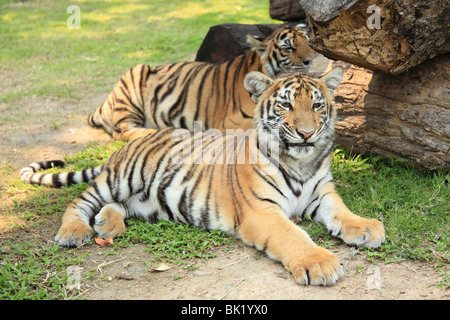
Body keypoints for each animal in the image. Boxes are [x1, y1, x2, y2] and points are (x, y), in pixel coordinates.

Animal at [21, 68, 384, 284]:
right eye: (285, 106)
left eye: (318, 106)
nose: (307, 134)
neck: (300, 162)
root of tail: (133, 143)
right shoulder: (261, 211)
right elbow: (292, 235)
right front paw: (319, 263)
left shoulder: (322, 192)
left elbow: (342, 211)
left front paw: (367, 228)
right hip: (122, 177)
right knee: (79, 202)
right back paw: (74, 231)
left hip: (143, 198)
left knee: (120, 206)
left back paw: (107, 224)